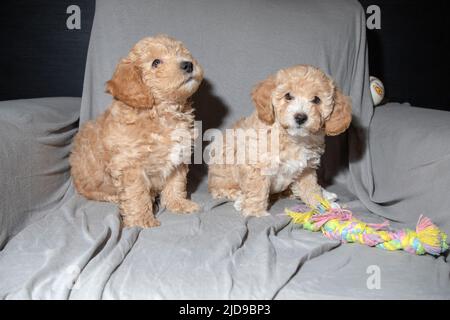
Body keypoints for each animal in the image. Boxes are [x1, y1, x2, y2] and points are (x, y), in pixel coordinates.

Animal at [69, 35, 203, 228]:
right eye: (156, 62)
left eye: (181, 53)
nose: (188, 64)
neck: (162, 113)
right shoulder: (130, 165)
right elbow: (137, 193)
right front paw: (142, 219)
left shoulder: (178, 157)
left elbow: (176, 183)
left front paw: (178, 203)